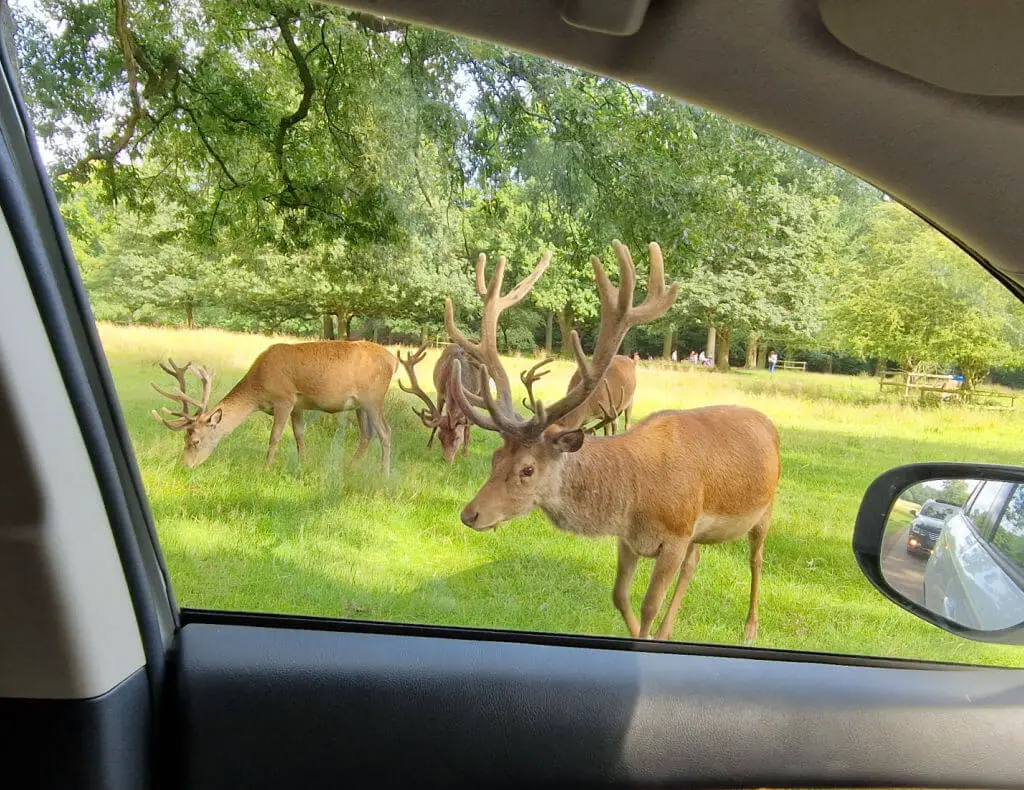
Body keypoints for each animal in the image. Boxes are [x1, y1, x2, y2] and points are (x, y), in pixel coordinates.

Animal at [151, 340, 398, 475]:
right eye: (184, 439)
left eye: (195, 441)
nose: (183, 466)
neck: (258, 390)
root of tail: (393, 361)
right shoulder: (298, 405)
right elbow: (299, 435)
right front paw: (304, 465)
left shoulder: (284, 399)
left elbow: (275, 436)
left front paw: (266, 468)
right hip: (360, 405)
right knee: (367, 434)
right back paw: (350, 468)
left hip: (374, 397)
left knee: (386, 432)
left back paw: (384, 474)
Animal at [444, 242, 781, 643]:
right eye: (495, 458)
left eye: (527, 469)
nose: (469, 514)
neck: (634, 497)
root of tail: (768, 423)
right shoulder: (632, 539)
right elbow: (620, 596)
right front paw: (645, 633)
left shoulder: (676, 534)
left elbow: (649, 605)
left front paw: (647, 636)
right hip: (702, 529)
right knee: (696, 562)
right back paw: (670, 632)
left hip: (765, 508)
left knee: (756, 559)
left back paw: (750, 628)